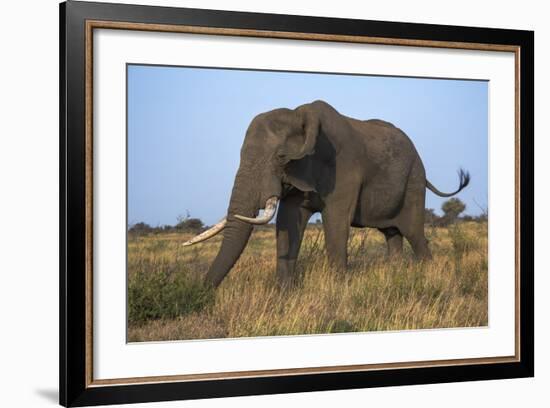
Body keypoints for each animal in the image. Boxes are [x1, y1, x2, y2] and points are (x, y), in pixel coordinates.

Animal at [184, 100, 470, 288]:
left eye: (280, 157)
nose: (203, 293)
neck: (300, 115)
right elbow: (288, 222)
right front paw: (283, 294)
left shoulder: (344, 168)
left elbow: (335, 222)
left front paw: (337, 292)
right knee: (393, 234)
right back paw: (396, 276)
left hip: (414, 181)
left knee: (415, 234)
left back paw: (428, 275)